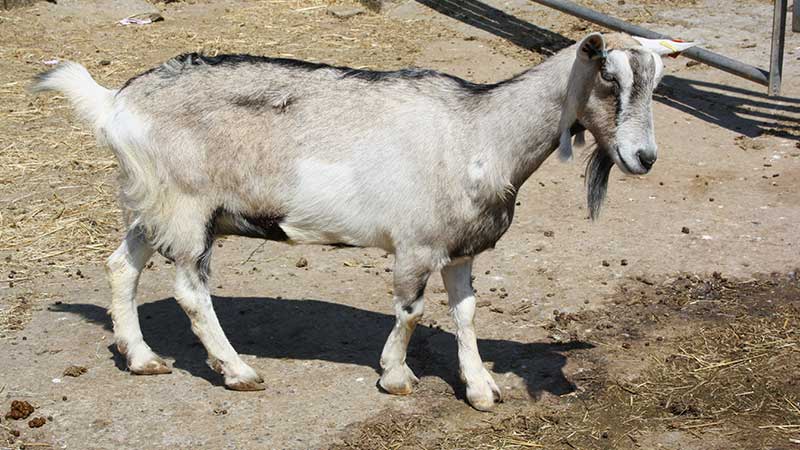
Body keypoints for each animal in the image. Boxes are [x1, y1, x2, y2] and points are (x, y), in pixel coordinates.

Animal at [32, 32, 692, 412]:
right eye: (609, 78)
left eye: (658, 82)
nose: (644, 158)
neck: (481, 130)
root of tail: (115, 102)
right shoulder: (416, 244)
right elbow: (411, 311)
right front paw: (396, 377)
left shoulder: (460, 249)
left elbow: (466, 313)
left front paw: (481, 387)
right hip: (190, 207)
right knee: (191, 291)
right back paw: (239, 371)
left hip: (151, 203)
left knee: (121, 267)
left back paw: (141, 357)